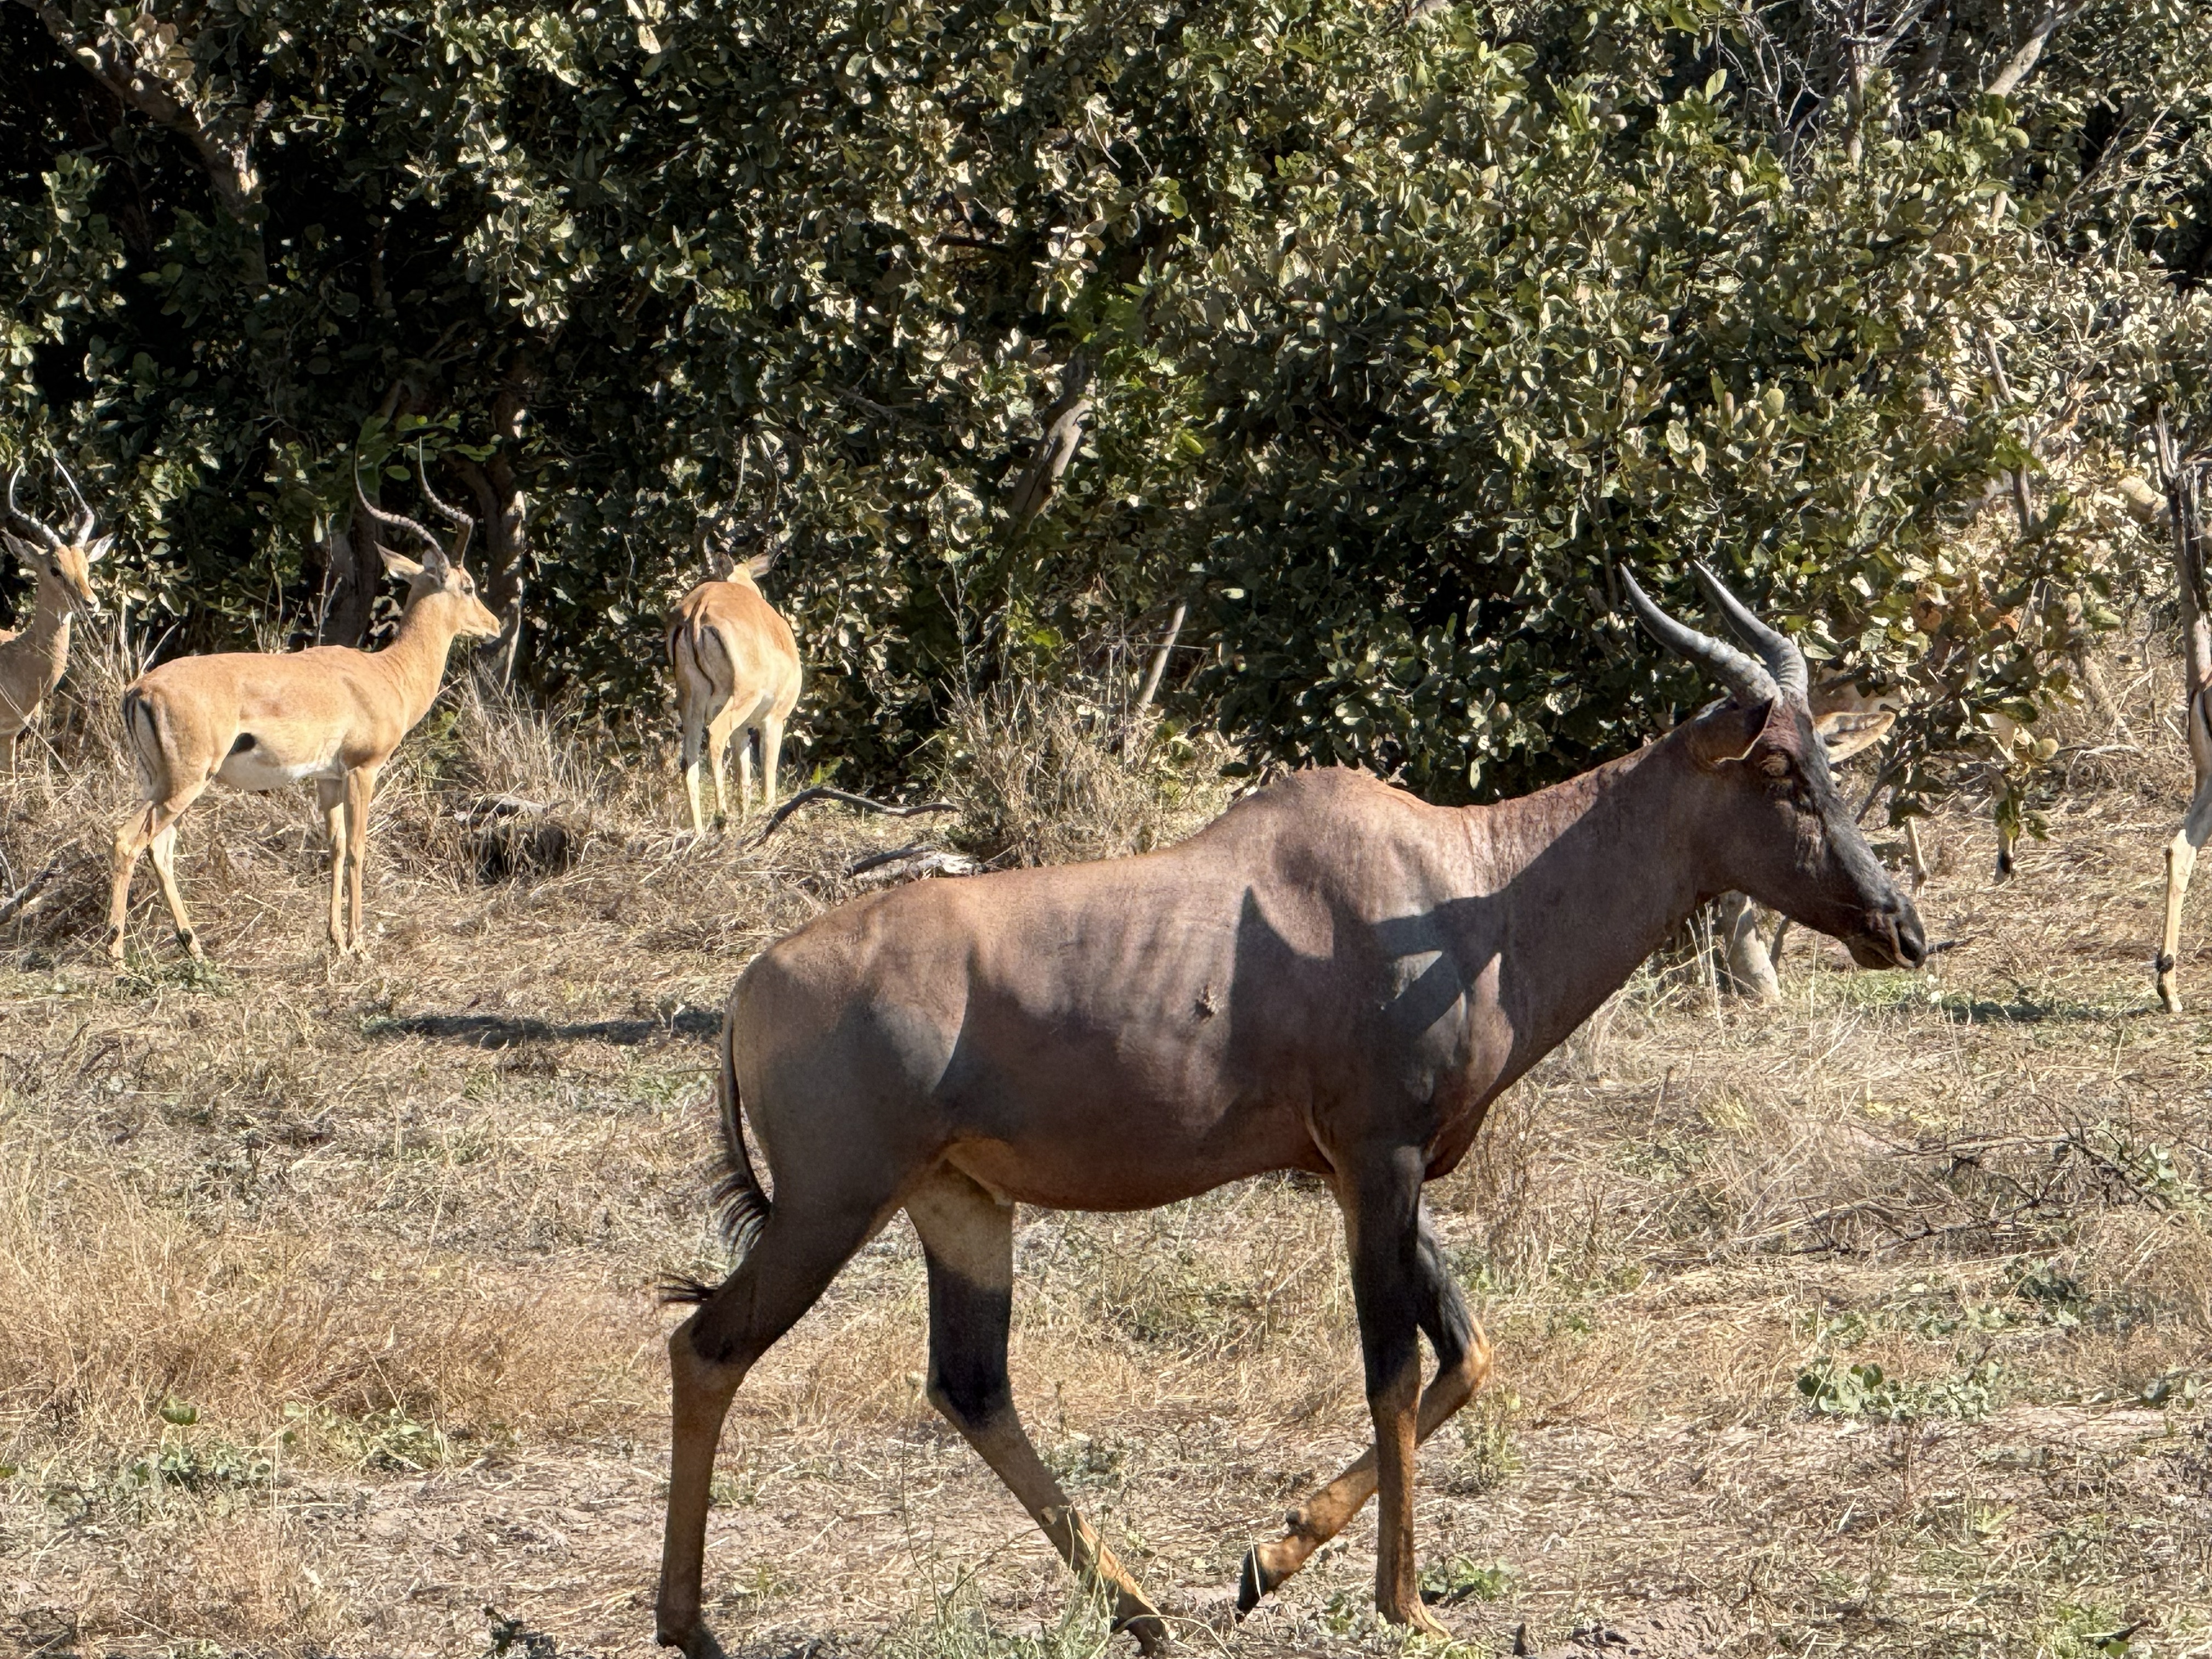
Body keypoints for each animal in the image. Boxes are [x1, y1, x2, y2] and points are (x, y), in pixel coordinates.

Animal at [105, 463, 500, 961]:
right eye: (468, 586)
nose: (495, 625)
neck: (386, 672)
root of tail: (140, 688)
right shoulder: (362, 770)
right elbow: (358, 849)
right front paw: (360, 946)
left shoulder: (327, 778)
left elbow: (334, 849)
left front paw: (336, 941)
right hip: (185, 784)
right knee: (129, 842)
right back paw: (118, 957)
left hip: (159, 783)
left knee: (158, 848)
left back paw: (195, 950)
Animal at [654, 567, 1926, 1656]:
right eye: (1779, 771)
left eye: (1825, 758)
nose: (1900, 925)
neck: (1457, 882)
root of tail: (752, 987)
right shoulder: (1378, 1156)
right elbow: (1396, 1368)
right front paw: (1409, 1606)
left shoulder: (1378, 1170)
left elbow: (1469, 1352)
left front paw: (1267, 1558)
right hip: (832, 1203)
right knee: (708, 1346)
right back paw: (691, 1625)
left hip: (958, 1203)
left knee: (971, 1384)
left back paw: (1142, 1611)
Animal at [666, 517, 802, 833]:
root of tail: (699, 608)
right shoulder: (773, 720)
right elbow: (767, 780)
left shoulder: (744, 729)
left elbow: (744, 781)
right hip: (741, 699)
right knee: (715, 736)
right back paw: (721, 818)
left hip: (691, 703)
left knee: (689, 760)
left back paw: (700, 832)